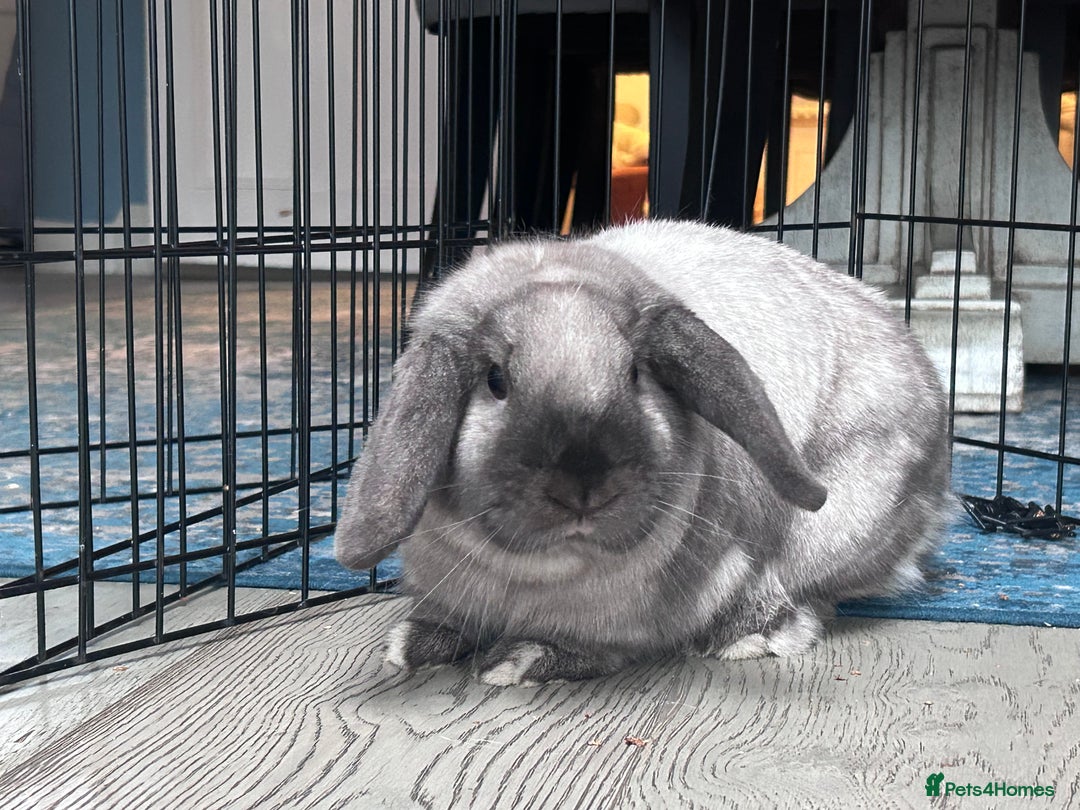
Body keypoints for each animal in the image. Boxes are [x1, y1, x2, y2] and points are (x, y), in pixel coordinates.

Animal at [334, 219, 950, 686]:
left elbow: (587, 649)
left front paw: (520, 661)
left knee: (809, 595)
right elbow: (445, 623)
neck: (537, 572)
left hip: (830, 533)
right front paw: (412, 645)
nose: (584, 487)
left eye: (635, 374)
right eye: (495, 380)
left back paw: (749, 635)